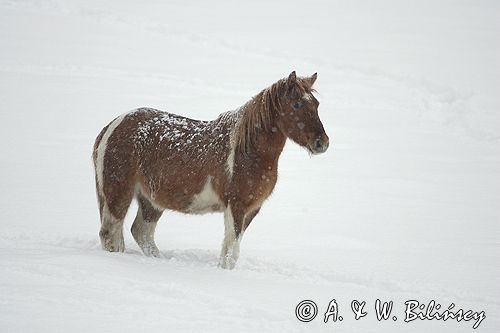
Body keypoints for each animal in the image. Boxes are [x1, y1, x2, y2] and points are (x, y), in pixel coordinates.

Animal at [92, 71, 330, 268]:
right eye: (297, 105)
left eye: (316, 104)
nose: (322, 143)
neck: (247, 152)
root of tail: (113, 125)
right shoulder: (236, 207)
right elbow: (231, 252)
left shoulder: (251, 209)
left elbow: (229, 251)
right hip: (118, 194)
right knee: (110, 234)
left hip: (151, 200)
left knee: (141, 233)